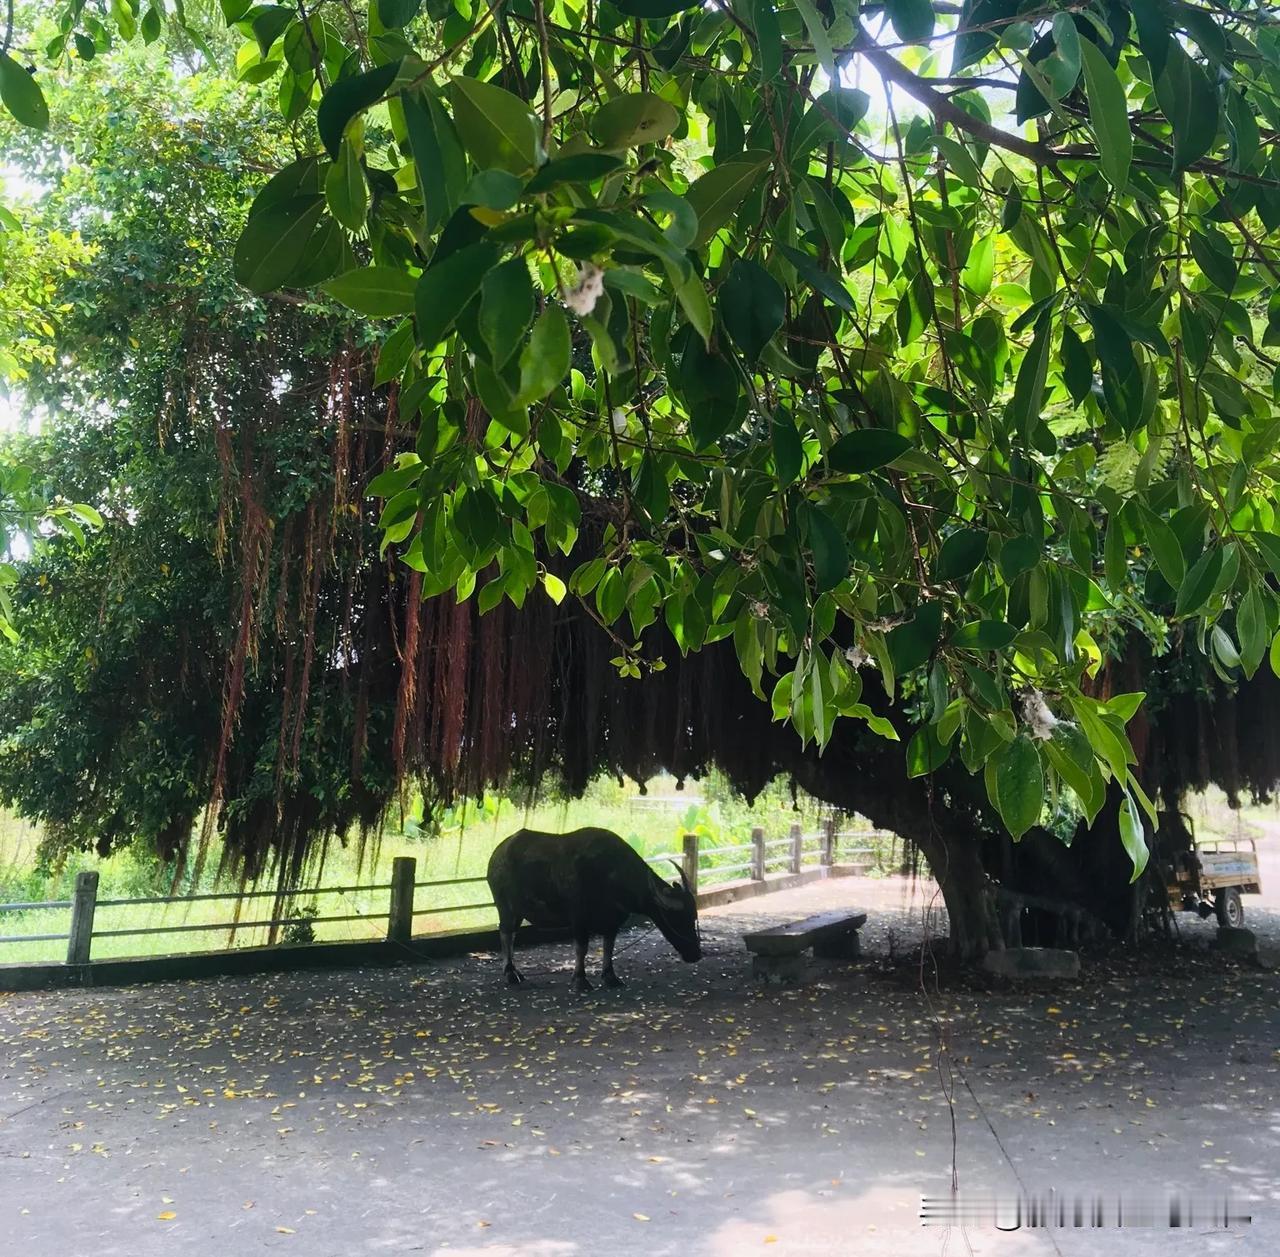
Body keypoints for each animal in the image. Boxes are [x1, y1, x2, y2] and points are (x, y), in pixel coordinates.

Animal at [486, 824, 706, 993]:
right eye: (677, 918)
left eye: (693, 916)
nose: (696, 954)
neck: (611, 873)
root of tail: (497, 854)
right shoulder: (578, 918)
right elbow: (581, 948)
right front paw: (580, 980)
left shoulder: (613, 921)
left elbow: (608, 947)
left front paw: (610, 977)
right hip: (505, 907)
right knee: (505, 933)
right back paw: (510, 973)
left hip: (517, 911)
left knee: (511, 934)